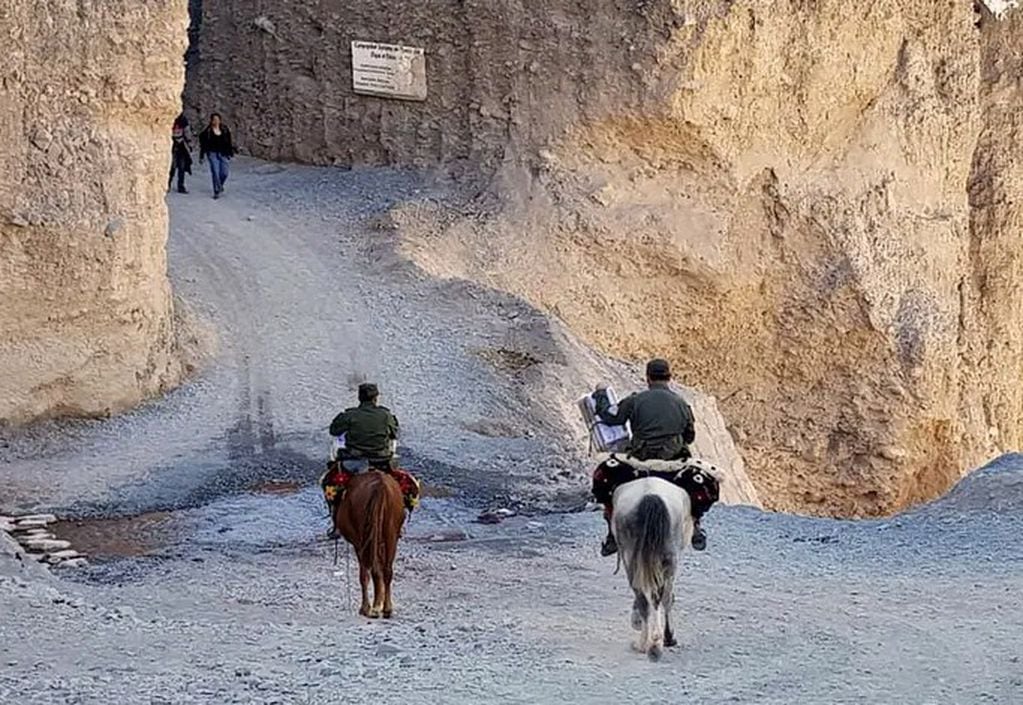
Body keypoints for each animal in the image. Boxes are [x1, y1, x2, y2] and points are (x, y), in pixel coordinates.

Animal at [331, 472, 403, 613]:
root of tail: (380, 485)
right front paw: (378, 602)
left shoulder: (359, 543)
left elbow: (365, 573)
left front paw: (368, 607)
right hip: (390, 533)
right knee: (386, 570)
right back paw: (387, 607)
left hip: (363, 540)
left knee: (369, 571)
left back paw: (369, 607)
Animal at [609, 472, 699, 658]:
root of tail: (651, 495)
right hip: (669, 560)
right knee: (663, 597)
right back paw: (657, 641)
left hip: (633, 558)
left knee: (646, 597)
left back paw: (647, 643)